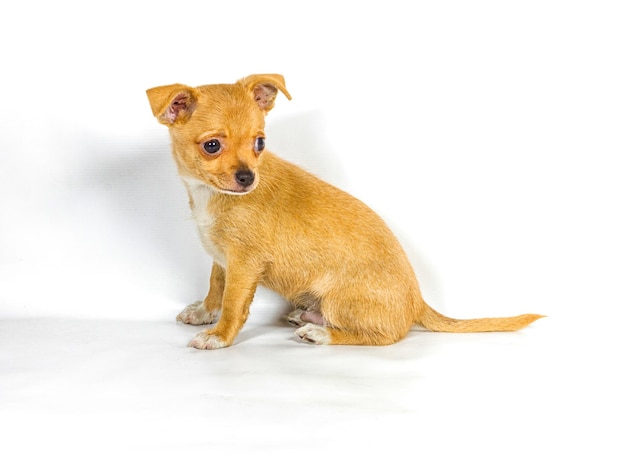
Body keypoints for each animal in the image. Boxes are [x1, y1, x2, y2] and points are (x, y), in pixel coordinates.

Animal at [145, 74, 540, 350]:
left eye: (260, 143)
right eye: (212, 146)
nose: (247, 178)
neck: (207, 195)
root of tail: (418, 302)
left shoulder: (244, 263)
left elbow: (233, 302)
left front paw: (220, 335)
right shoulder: (222, 257)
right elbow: (216, 286)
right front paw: (203, 313)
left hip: (339, 300)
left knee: (385, 336)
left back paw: (320, 334)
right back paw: (306, 316)